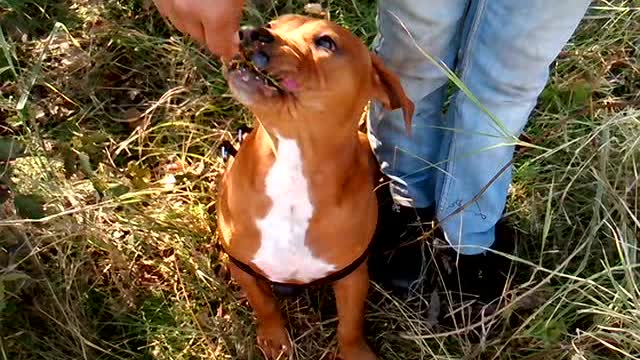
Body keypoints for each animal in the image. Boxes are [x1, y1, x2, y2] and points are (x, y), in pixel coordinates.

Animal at [218, 14, 412, 360]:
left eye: (325, 42)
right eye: (273, 24)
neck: (293, 168)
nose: (250, 32)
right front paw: (274, 338)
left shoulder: (352, 277)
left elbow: (350, 323)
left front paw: (355, 352)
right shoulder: (245, 269)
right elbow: (263, 304)